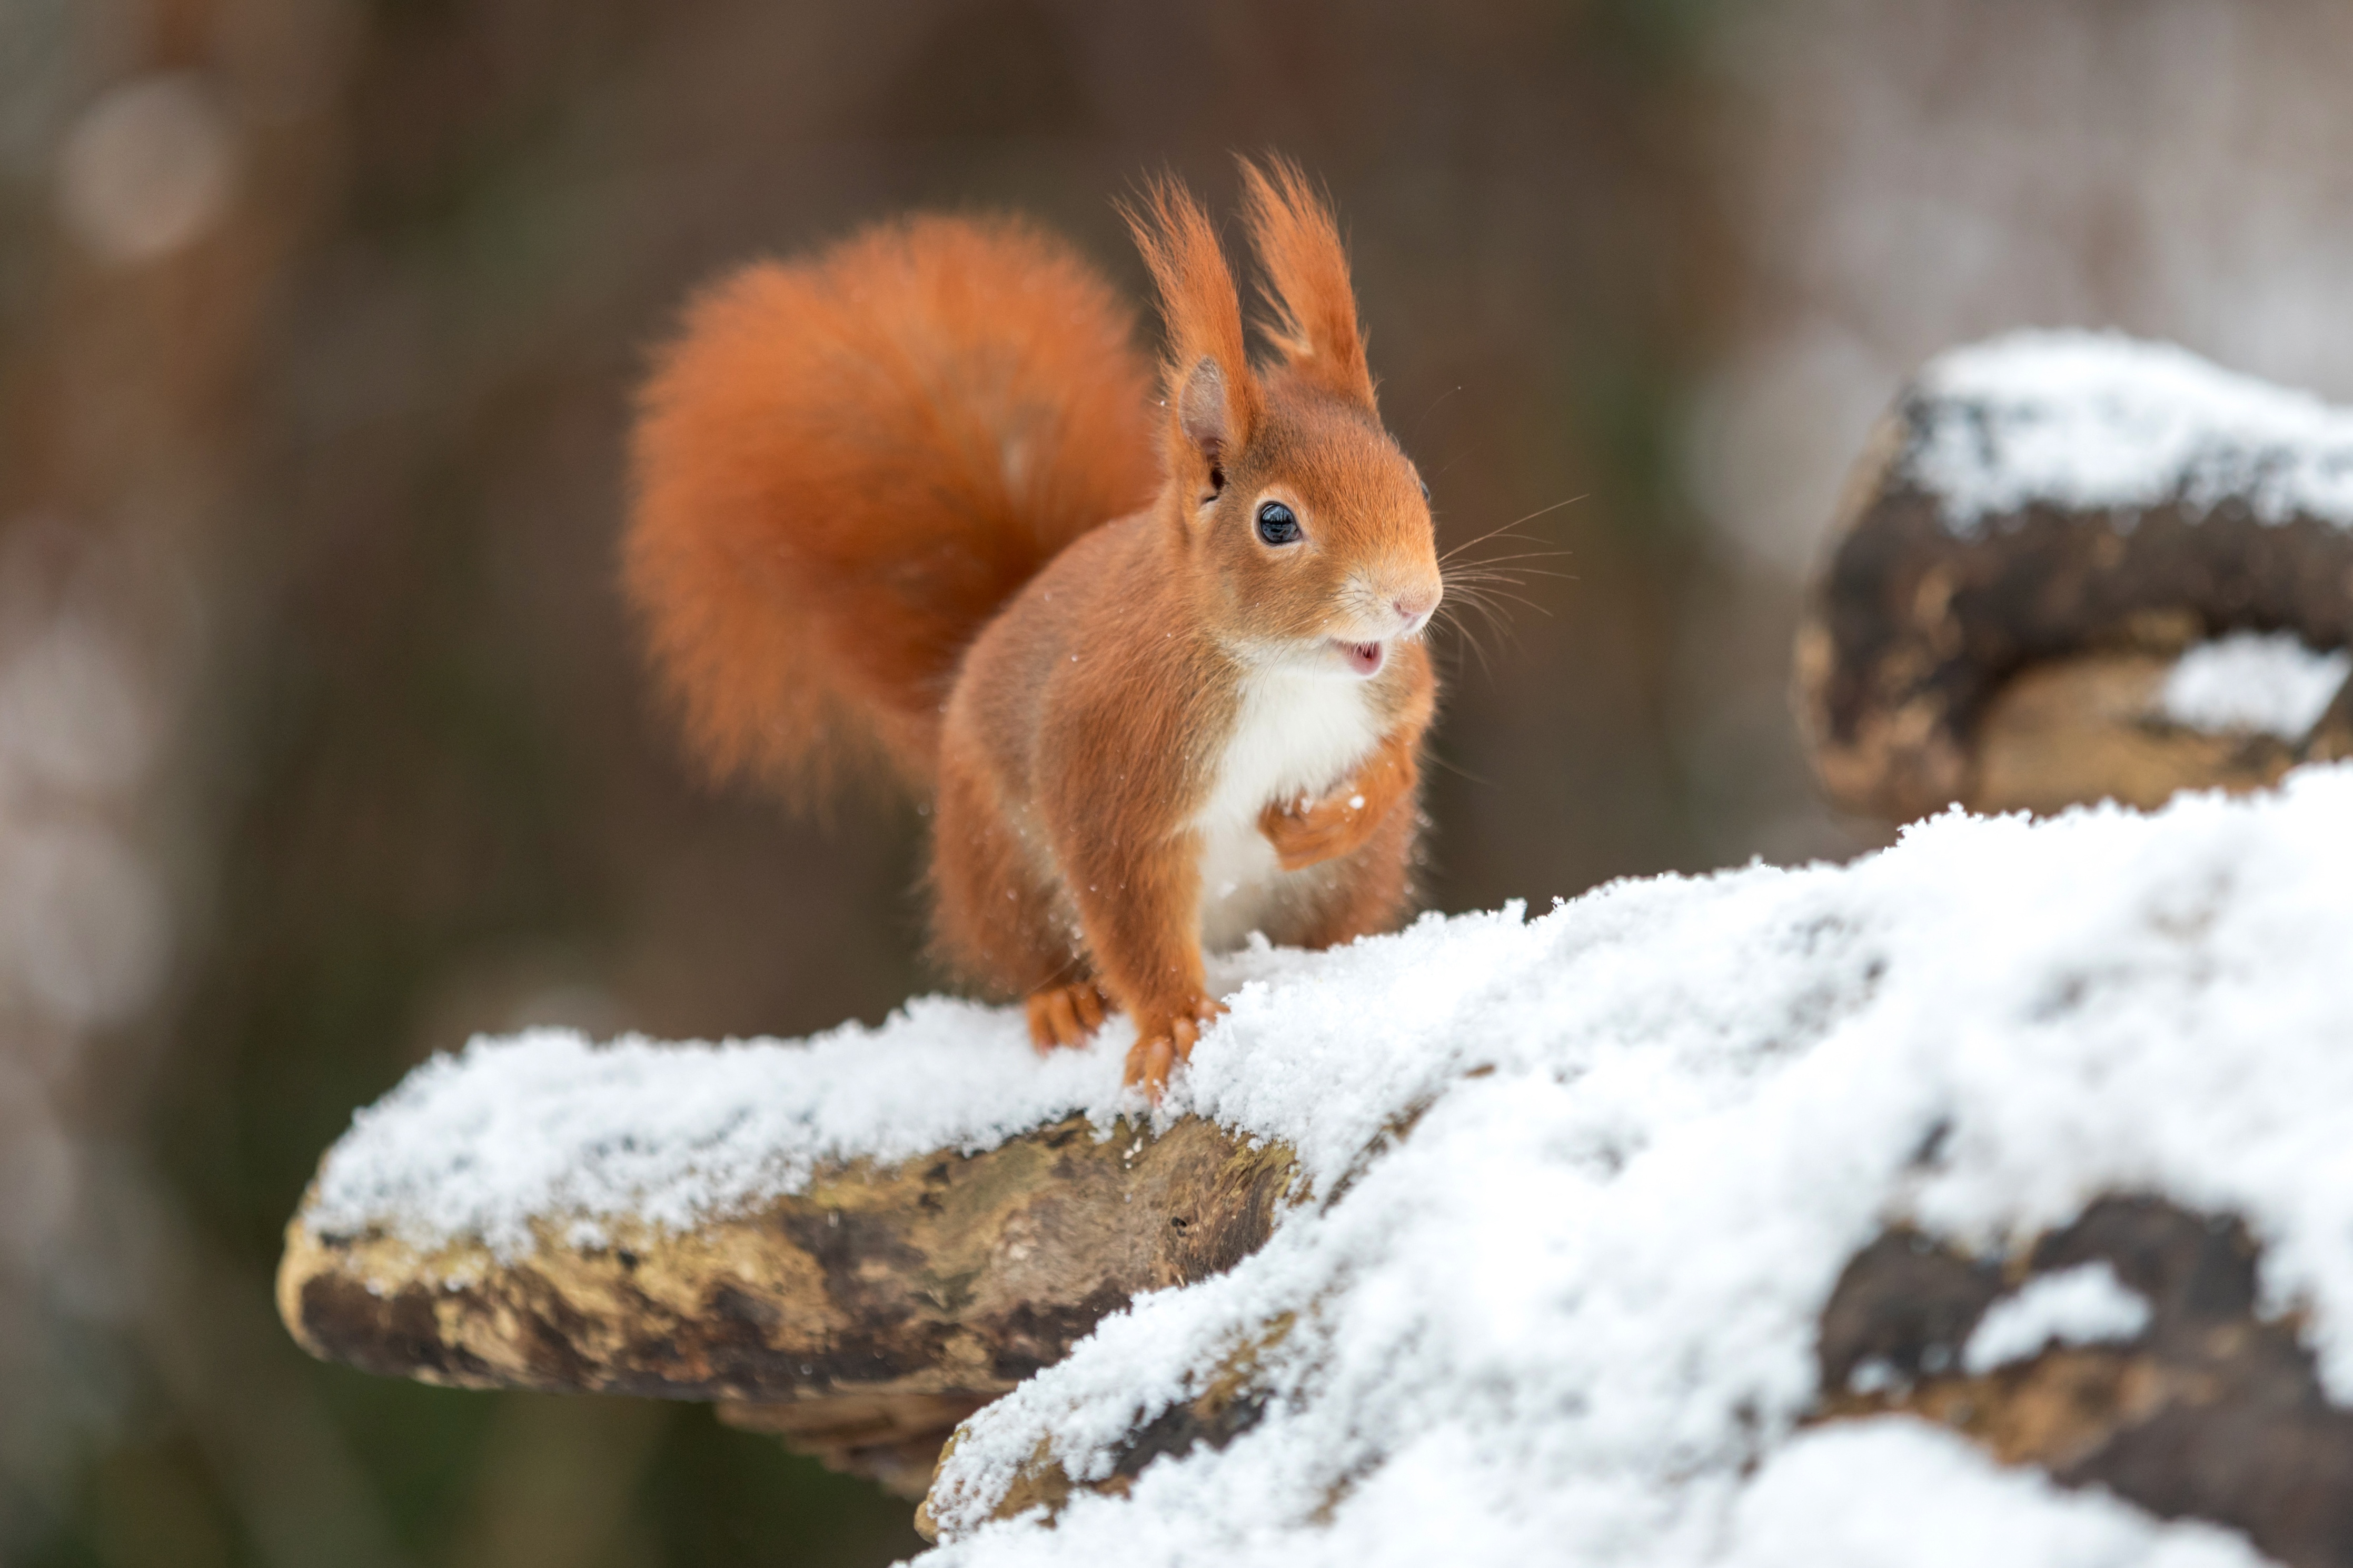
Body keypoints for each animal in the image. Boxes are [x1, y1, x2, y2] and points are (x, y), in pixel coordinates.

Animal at [626, 159, 1431, 1091]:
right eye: (1276, 522)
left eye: (1414, 479)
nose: (1415, 601)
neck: (1282, 672)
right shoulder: (1114, 755)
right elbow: (1126, 901)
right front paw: (1176, 1021)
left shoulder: (1395, 683)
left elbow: (1404, 738)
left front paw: (1341, 810)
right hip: (996, 858)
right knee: (1031, 953)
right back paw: (1062, 1000)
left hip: (1347, 882)